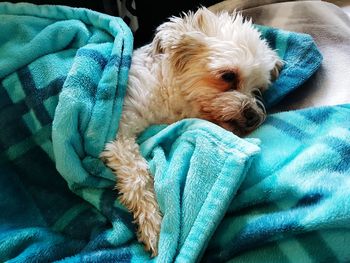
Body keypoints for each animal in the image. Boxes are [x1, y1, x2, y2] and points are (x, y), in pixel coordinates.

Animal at [101, 7, 282, 258]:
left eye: (259, 89)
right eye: (228, 76)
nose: (253, 116)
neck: (165, 91)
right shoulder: (122, 133)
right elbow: (138, 175)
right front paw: (153, 226)